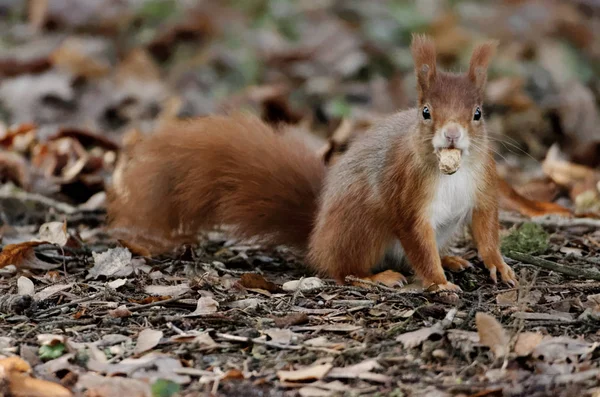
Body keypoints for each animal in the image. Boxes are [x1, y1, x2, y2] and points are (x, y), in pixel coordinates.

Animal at [108, 35, 516, 290]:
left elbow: (486, 226)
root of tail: (317, 236)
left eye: (478, 113)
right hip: (362, 227)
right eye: (426, 112)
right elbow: (415, 237)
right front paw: (437, 283)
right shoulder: (405, 190)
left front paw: (496, 264)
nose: (452, 134)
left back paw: (451, 259)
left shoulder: (484, 182)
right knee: (341, 270)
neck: (452, 168)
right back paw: (376, 277)